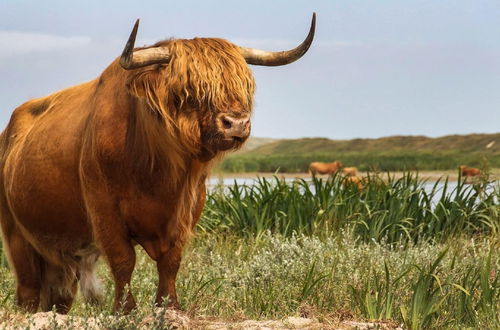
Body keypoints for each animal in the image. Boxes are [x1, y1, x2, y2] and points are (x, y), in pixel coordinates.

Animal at [0, 14, 316, 314]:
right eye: (189, 90)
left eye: (243, 88)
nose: (236, 123)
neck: (158, 173)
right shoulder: (104, 209)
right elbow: (124, 260)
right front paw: (125, 309)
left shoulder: (186, 211)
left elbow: (171, 261)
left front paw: (169, 305)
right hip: (16, 235)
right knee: (28, 288)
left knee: (60, 295)